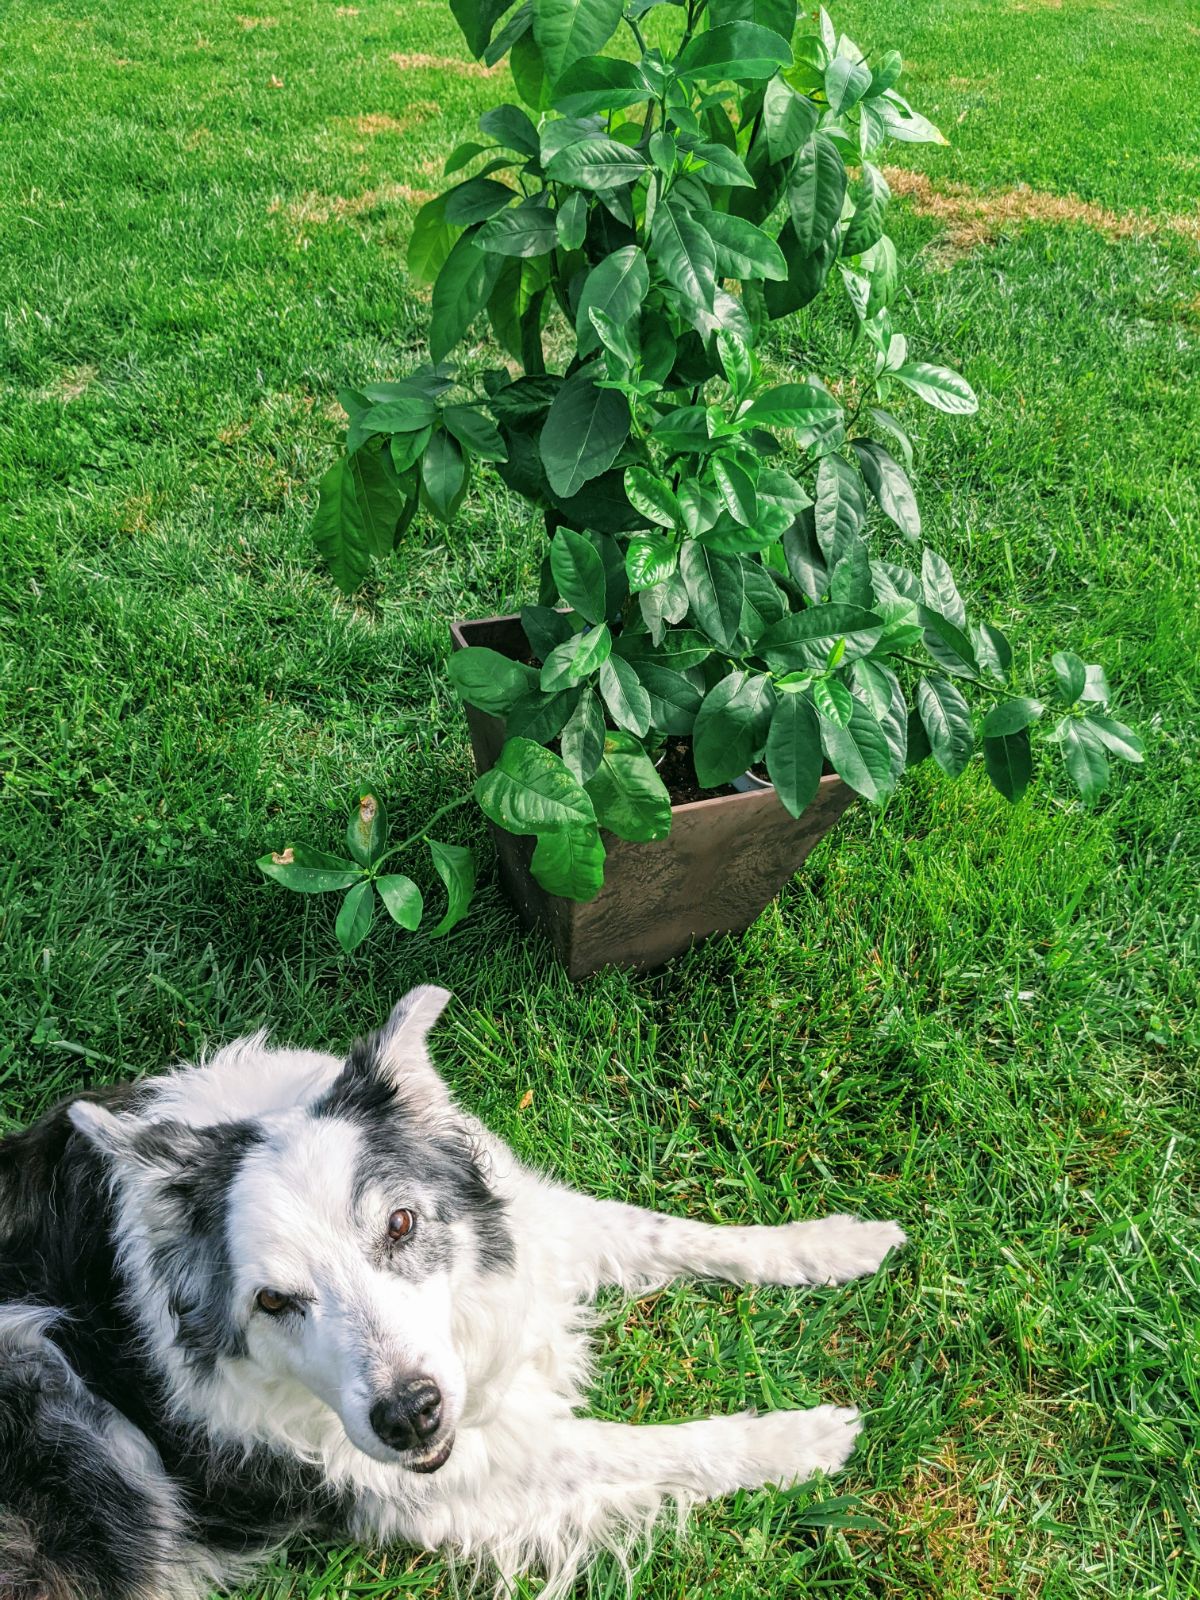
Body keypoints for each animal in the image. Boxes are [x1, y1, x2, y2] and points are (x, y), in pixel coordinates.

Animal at [0, 985, 902, 1600]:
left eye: (400, 1225)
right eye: (273, 1302)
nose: (410, 1417)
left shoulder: (527, 1230)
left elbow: (663, 1230)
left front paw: (839, 1242)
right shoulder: (438, 1483)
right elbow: (636, 1447)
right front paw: (800, 1438)